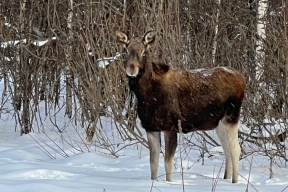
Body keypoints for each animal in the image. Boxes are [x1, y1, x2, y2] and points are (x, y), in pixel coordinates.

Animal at [116, 30, 246, 183]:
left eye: (144, 52)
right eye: (126, 50)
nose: (131, 68)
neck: (146, 96)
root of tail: (243, 79)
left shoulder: (171, 127)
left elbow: (168, 162)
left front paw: (169, 183)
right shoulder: (151, 127)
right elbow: (153, 163)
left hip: (231, 116)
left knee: (236, 150)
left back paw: (234, 182)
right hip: (219, 123)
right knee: (226, 149)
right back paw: (226, 179)